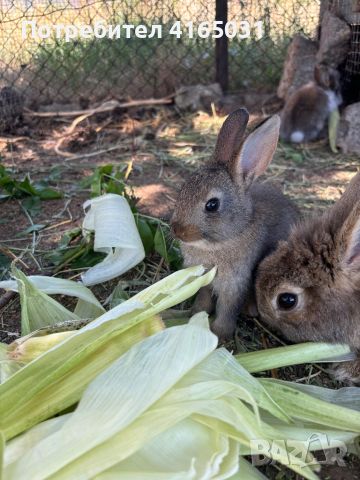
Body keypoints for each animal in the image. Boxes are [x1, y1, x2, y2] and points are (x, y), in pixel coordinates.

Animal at [170, 109, 300, 342]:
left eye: (212, 205)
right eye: (182, 190)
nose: (178, 231)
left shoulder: (235, 283)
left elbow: (227, 309)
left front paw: (220, 335)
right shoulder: (204, 281)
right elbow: (203, 299)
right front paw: (196, 314)